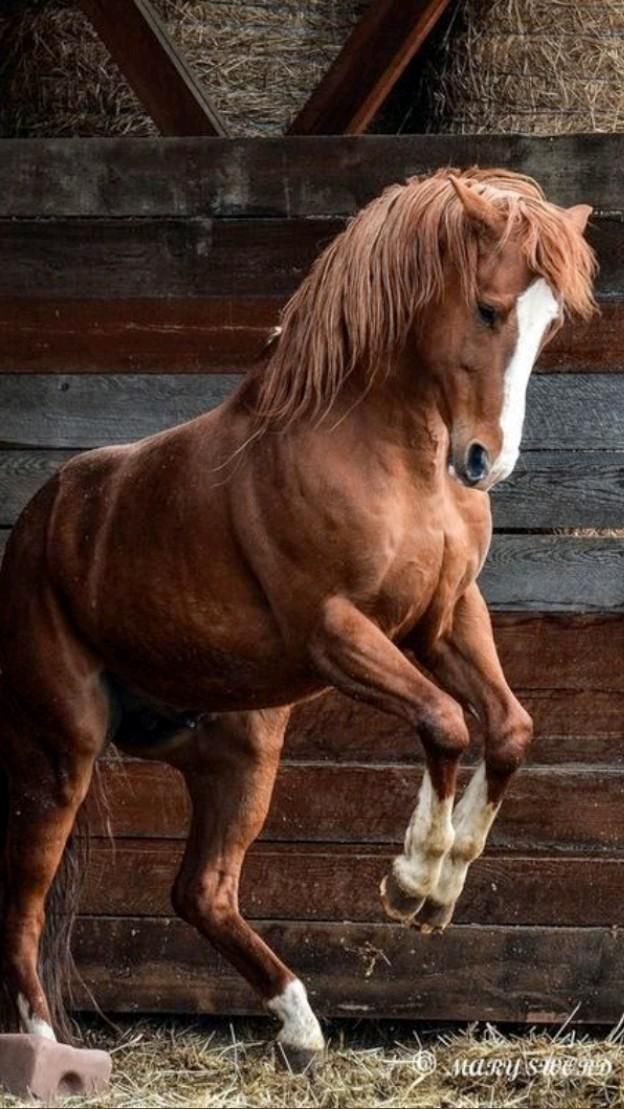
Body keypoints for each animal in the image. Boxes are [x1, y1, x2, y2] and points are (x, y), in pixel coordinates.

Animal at [0, 167, 595, 1070]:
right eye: (489, 308)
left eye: (550, 321)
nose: (486, 462)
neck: (389, 457)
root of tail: (38, 522)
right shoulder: (336, 632)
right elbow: (447, 722)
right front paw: (411, 882)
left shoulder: (446, 618)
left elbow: (510, 730)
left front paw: (439, 890)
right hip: (61, 752)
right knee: (26, 902)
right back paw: (46, 1048)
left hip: (241, 751)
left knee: (202, 891)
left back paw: (303, 1028)